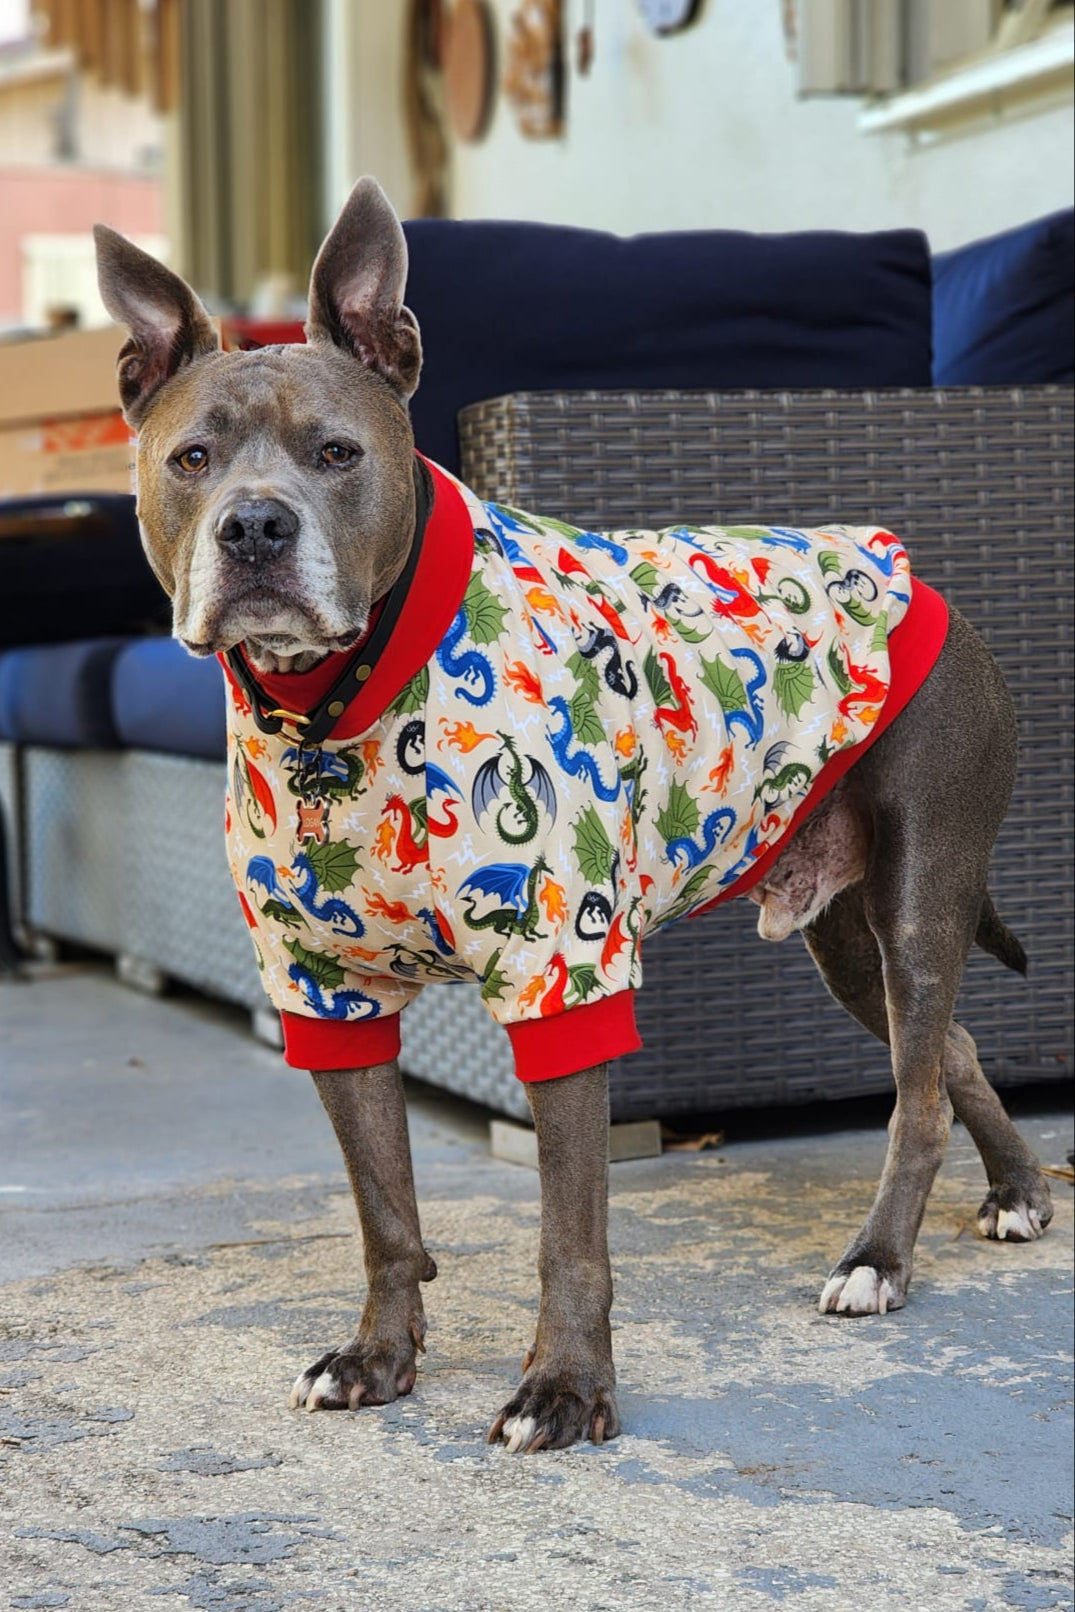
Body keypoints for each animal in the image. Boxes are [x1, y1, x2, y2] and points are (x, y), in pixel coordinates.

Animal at [96, 179, 1057, 1463]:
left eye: (337, 453)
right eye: (191, 458)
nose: (253, 527)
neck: (338, 705)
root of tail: (916, 572)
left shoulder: (559, 977)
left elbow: (569, 1231)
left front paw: (561, 1387)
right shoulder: (326, 998)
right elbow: (385, 1212)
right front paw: (377, 1358)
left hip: (917, 897)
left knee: (913, 1098)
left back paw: (878, 1259)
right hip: (849, 937)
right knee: (945, 1048)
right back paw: (1016, 1191)